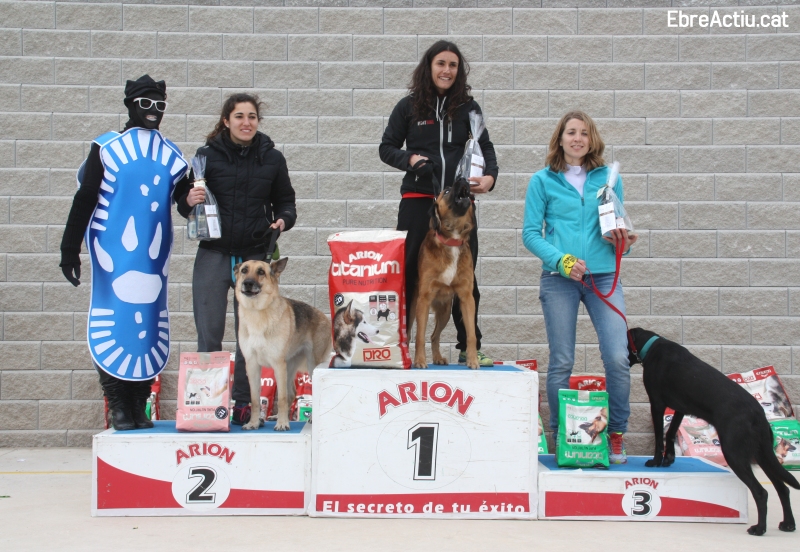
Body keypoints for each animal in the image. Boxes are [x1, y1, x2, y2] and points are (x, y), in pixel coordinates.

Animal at [234, 258, 332, 432]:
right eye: (244, 270)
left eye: (261, 272)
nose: (248, 283)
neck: (257, 312)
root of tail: (324, 317)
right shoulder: (252, 365)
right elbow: (255, 399)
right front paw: (253, 422)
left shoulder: (278, 365)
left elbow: (281, 398)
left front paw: (282, 424)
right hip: (289, 367)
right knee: (292, 393)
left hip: (311, 366)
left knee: (299, 393)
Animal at [410, 176, 478, 366]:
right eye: (446, 191)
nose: (462, 177)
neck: (452, 240)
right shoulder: (424, 299)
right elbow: (419, 336)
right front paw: (419, 361)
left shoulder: (467, 298)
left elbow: (471, 335)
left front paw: (473, 360)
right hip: (413, 307)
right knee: (410, 332)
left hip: (445, 311)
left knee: (434, 335)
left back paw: (438, 357)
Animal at [628, 328, 796, 536]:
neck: (652, 345)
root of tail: (758, 414)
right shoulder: (680, 408)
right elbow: (671, 432)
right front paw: (669, 459)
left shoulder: (657, 404)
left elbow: (660, 437)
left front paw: (656, 461)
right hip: (763, 454)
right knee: (782, 488)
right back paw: (788, 523)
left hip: (734, 452)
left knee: (761, 492)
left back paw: (759, 528)